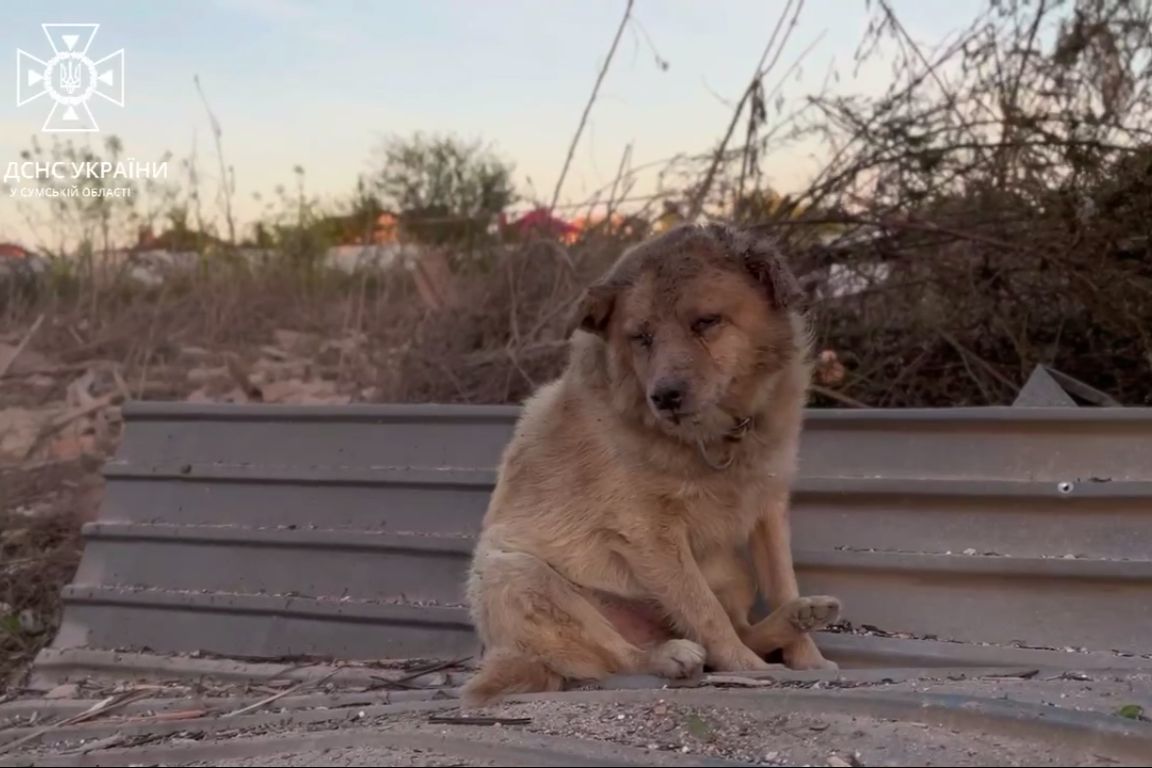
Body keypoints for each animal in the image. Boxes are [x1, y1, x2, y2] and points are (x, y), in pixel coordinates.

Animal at [463, 223, 843, 709]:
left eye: (706, 322)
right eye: (641, 337)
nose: (664, 396)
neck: (716, 439)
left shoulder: (768, 506)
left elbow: (781, 580)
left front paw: (808, 658)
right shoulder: (650, 533)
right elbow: (704, 611)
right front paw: (749, 669)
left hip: (732, 571)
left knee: (739, 623)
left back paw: (799, 616)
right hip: (515, 575)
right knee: (620, 653)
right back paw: (671, 656)